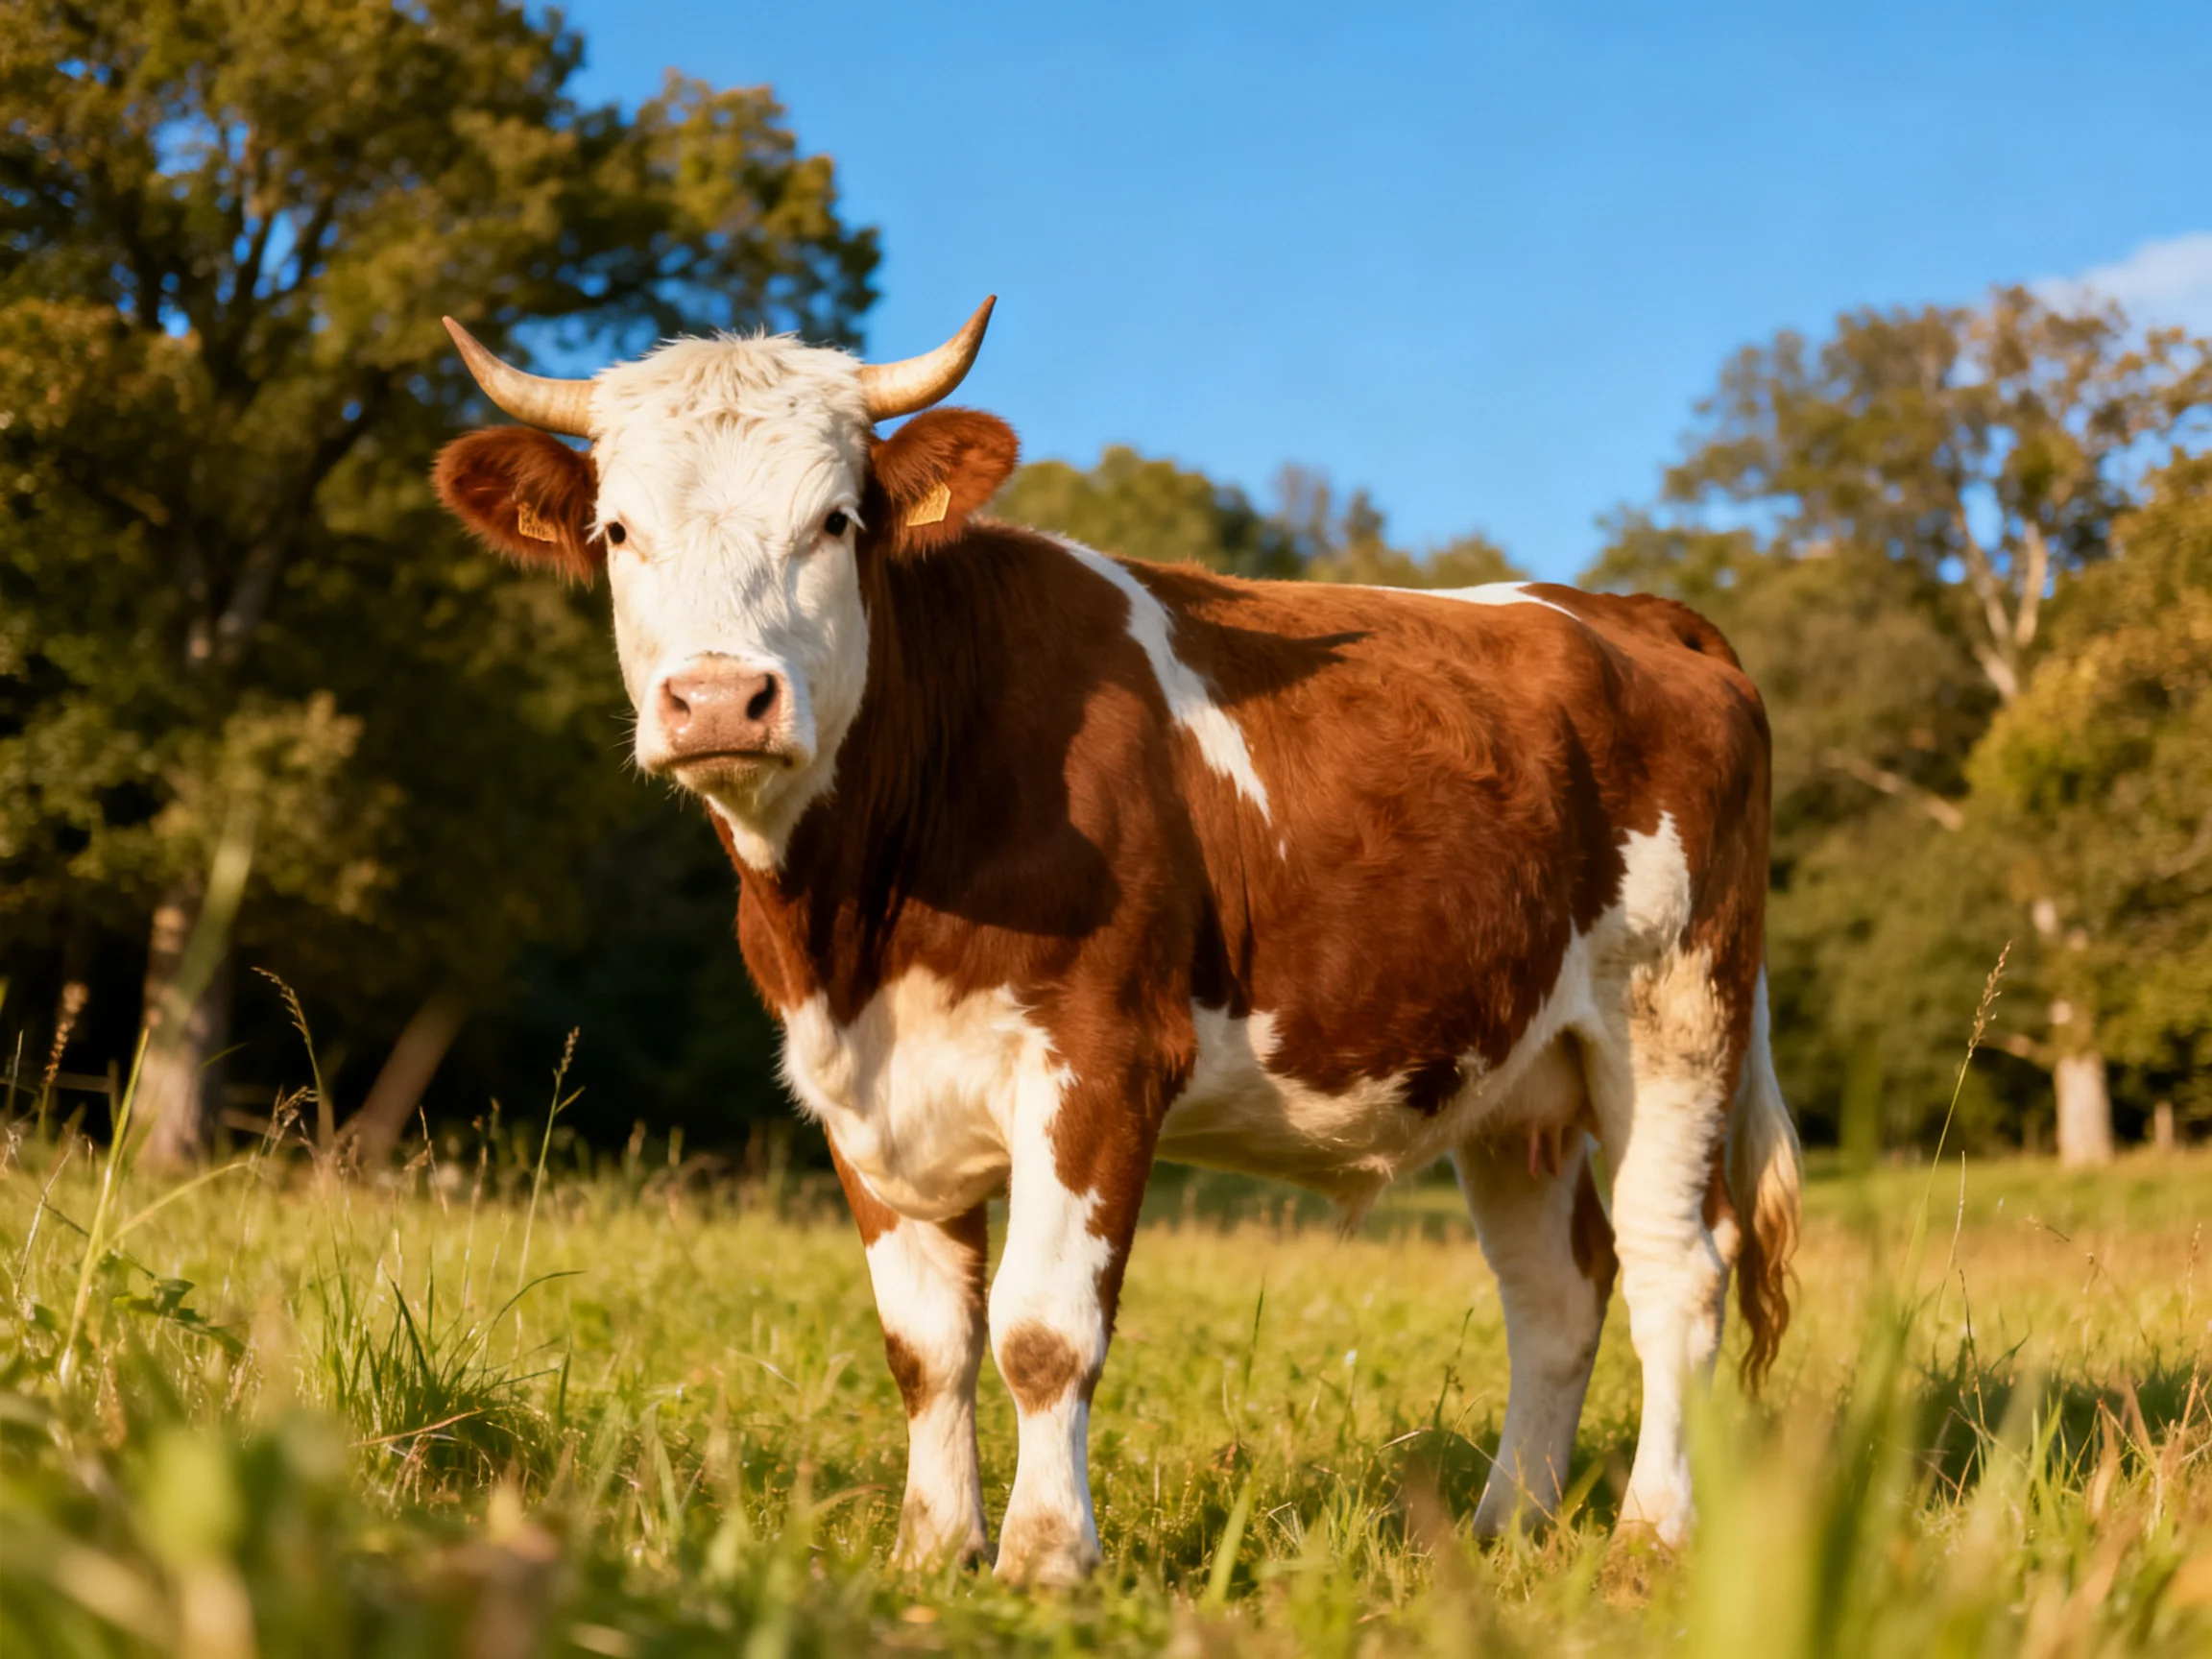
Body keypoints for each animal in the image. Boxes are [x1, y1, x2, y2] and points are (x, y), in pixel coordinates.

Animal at [432, 299, 1803, 1586]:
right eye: (618, 532)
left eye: (835, 521)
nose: (720, 698)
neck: (861, 921)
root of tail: (1626, 610)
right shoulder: (858, 1094)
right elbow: (926, 1348)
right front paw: (932, 1553)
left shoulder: (1099, 1058)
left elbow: (1043, 1333)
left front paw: (1047, 1557)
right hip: (1516, 1077)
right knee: (1558, 1294)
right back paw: (1502, 1528)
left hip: (1674, 1012)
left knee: (1678, 1270)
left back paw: (1653, 1535)